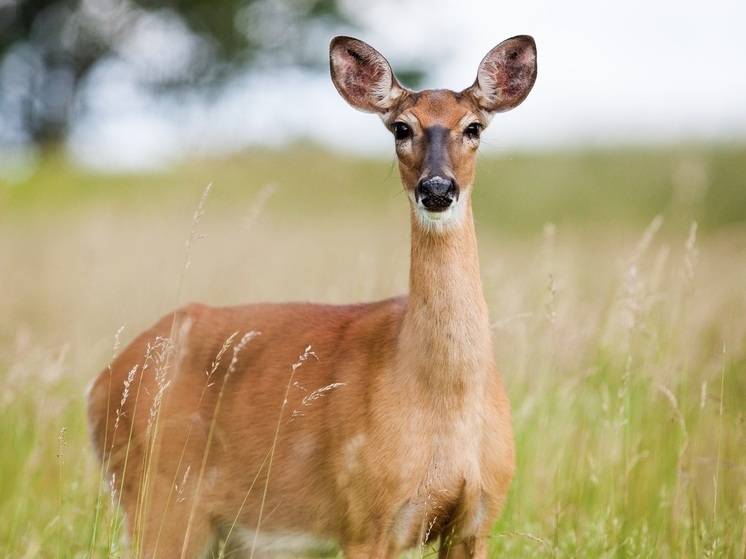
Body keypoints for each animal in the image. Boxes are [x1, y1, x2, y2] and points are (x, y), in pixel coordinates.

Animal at [88, 36, 536, 559]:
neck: (444, 399)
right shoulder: (366, 517)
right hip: (160, 501)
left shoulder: (478, 517)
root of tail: (101, 383)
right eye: (401, 128)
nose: (437, 188)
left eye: (474, 128)